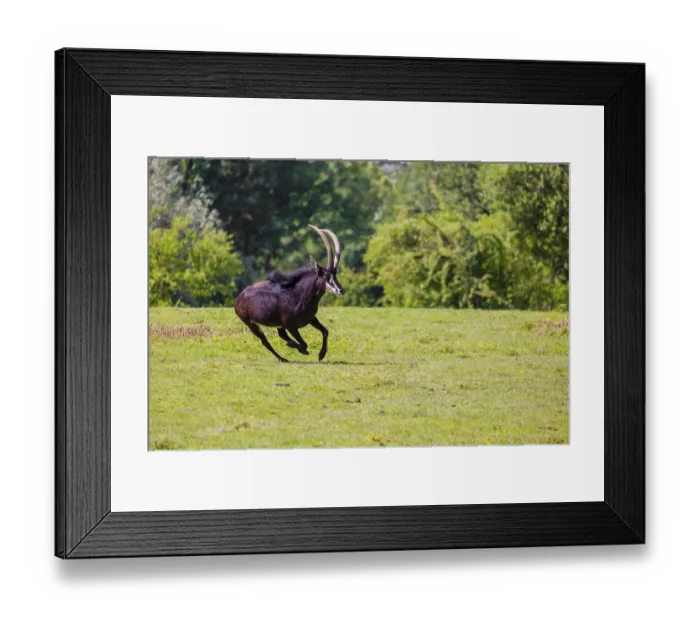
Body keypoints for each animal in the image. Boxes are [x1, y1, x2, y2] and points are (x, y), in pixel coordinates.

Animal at [234, 225, 345, 362]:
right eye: (325, 276)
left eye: (335, 274)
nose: (341, 290)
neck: (299, 296)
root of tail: (239, 298)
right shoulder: (290, 326)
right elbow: (304, 344)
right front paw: (299, 348)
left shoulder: (311, 319)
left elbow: (325, 331)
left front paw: (321, 354)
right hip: (251, 323)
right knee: (265, 341)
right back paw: (282, 358)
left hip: (277, 324)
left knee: (281, 334)